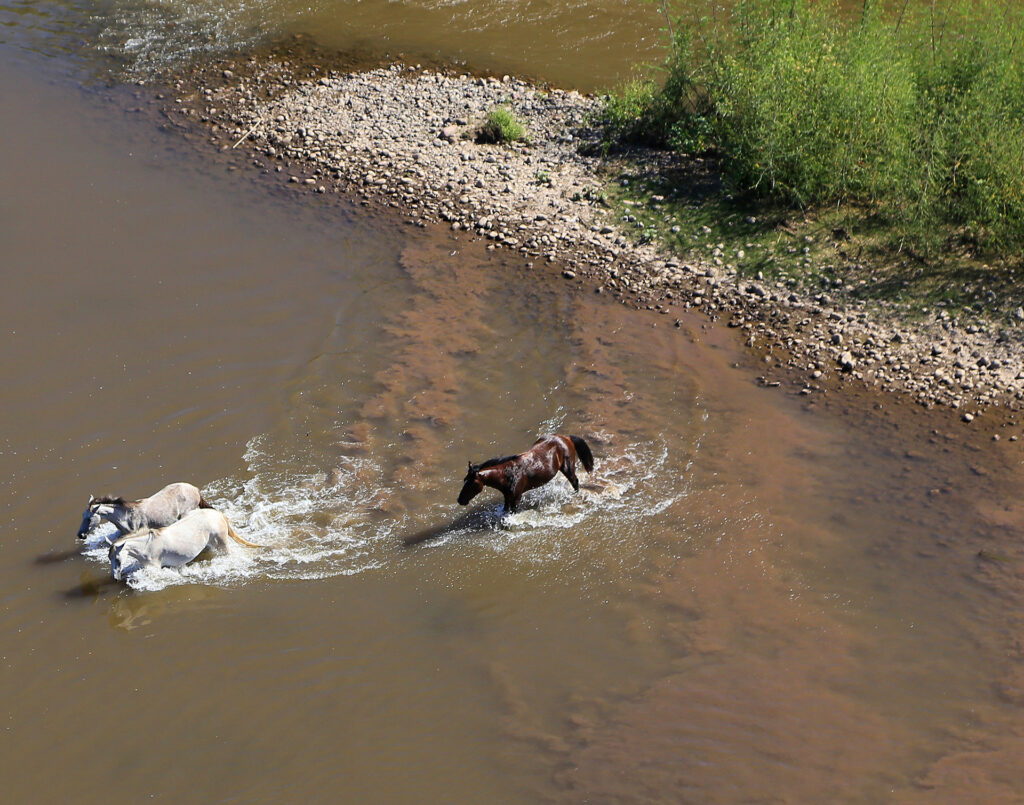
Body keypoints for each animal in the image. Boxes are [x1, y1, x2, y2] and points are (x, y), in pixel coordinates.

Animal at [456, 436, 593, 512]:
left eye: (471, 483)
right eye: (464, 480)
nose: (460, 500)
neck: (508, 474)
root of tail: (566, 438)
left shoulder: (516, 499)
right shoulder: (507, 498)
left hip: (568, 468)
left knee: (575, 482)